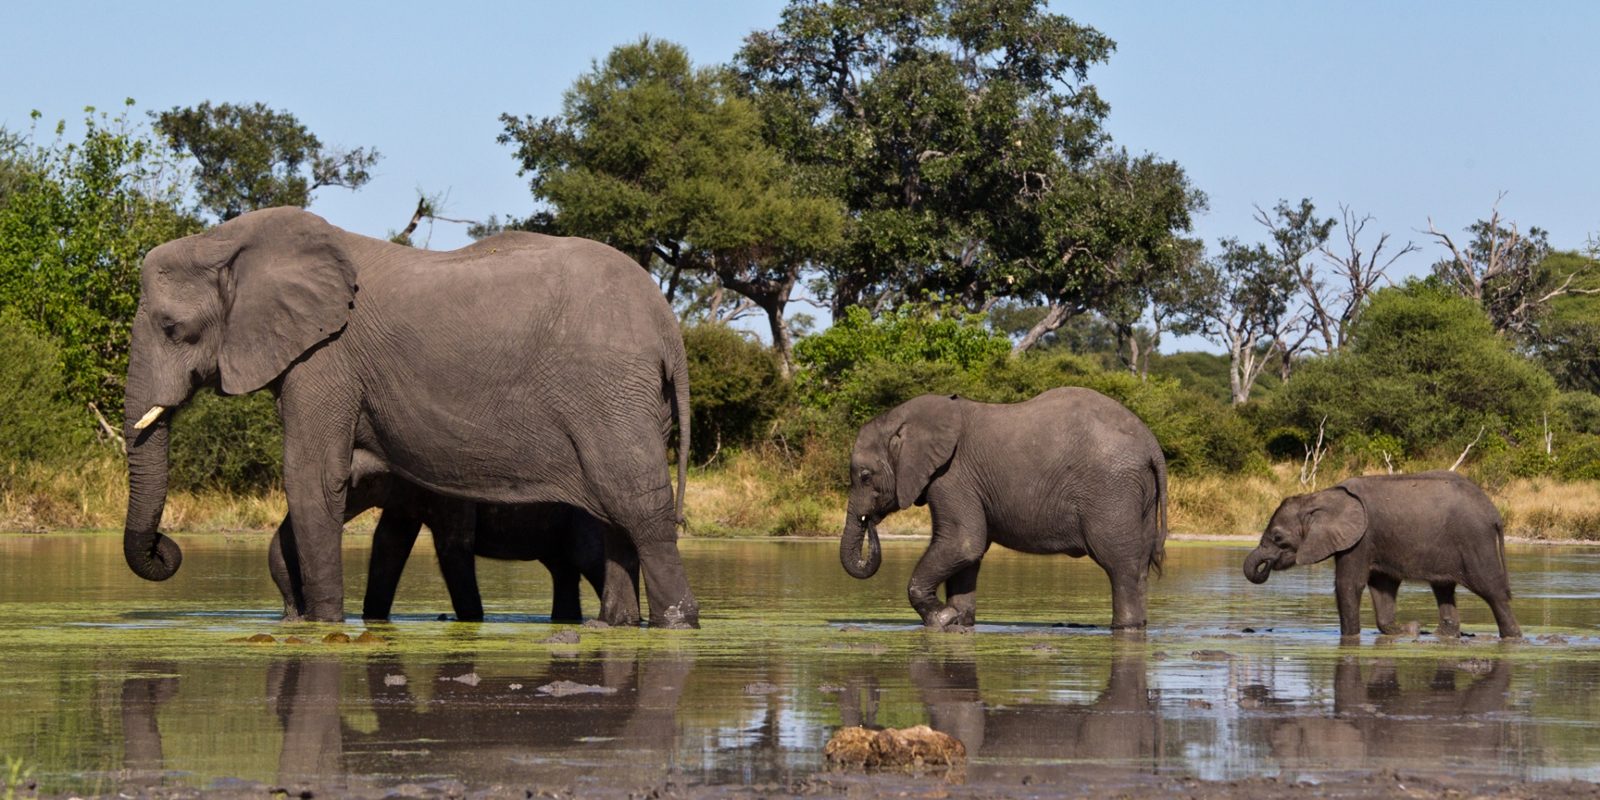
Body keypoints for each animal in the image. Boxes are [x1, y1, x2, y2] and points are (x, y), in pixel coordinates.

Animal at [267, 450, 610, 624]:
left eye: (351, 484)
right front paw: (373, 617)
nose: (294, 611)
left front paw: (471, 620)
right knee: (563, 572)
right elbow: (388, 544)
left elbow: (452, 548)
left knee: (589, 562)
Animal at [838, 388, 1168, 630]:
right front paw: (959, 621)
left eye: (865, 476)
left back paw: (1124, 627)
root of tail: (1151, 444)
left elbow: (963, 543)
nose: (870, 521)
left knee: (1120, 564)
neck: (905, 419)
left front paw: (942, 618)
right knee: (1138, 565)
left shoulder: (951, 476)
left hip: (1111, 490)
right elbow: (967, 555)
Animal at [1242, 470, 1521, 639]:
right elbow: (1382, 588)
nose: (1265, 565)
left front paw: (1350, 638)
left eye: (1278, 538)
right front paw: (1410, 629)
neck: (1319, 496)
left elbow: (1349, 585)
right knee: (1443, 587)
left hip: (1475, 541)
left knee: (1491, 590)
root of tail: (1495, 513)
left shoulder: (1361, 538)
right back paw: (1441, 636)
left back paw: (1513, 637)